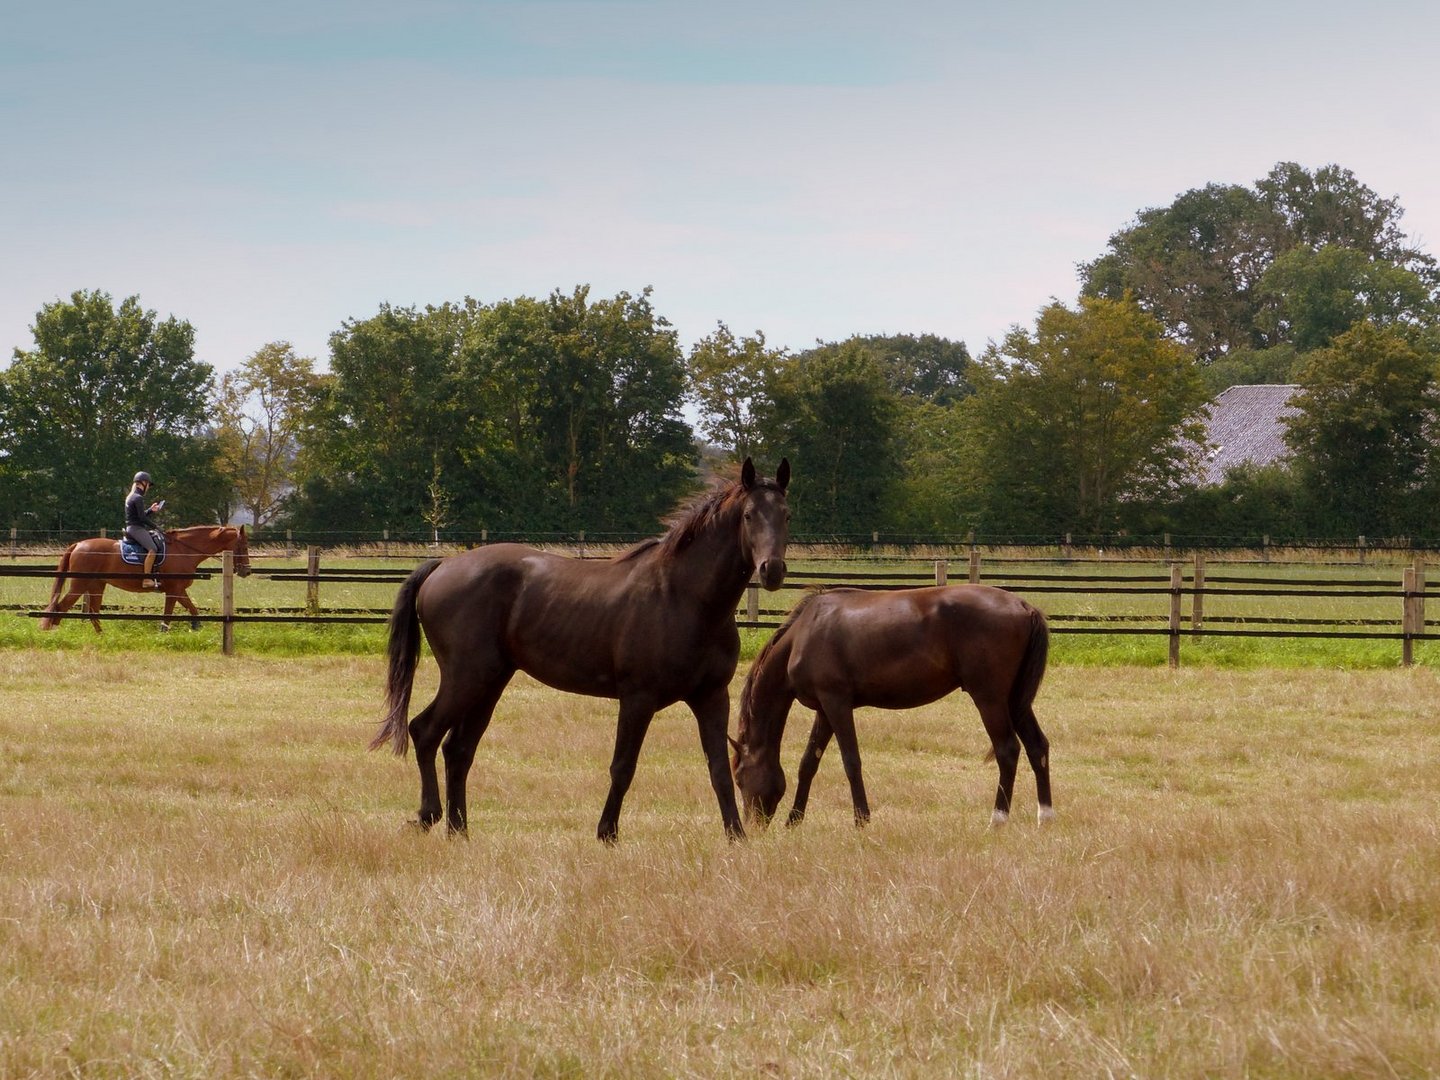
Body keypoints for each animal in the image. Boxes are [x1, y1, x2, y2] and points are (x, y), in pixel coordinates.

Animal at [38, 527, 253, 633]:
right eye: (243, 545)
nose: (246, 571)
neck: (183, 549)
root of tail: (78, 544)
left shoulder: (178, 589)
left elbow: (192, 609)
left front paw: (196, 628)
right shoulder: (174, 589)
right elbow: (169, 614)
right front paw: (164, 634)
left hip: (96, 585)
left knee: (93, 612)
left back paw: (102, 635)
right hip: (79, 584)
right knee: (61, 607)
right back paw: (51, 632)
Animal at [371, 457, 794, 846]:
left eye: (786, 514)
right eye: (749, 515)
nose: (772, 570)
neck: (684, 597)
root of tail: (444, 565)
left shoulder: (711, 697)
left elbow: (718, 768)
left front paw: (736, 835)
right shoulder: (638, 698)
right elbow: (623, 767)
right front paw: (607, 833)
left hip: (490, 682)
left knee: (458, 749)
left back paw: (459, 830)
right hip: (466, 679)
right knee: (424, 731)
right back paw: (428, 816)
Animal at [737, 584, 1054, 829]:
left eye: (739, 778)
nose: (753, 826)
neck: (805, 633)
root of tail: (1024, 606)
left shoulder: (836, 703)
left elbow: (851, 761)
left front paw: (861, 820)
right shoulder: (824, 710)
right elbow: (808, 763)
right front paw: (794, 820)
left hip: (990, 698)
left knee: (1007, 750)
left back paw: (997, 820)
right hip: (1015, 701)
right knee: (1037, 747)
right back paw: (1045, 818)